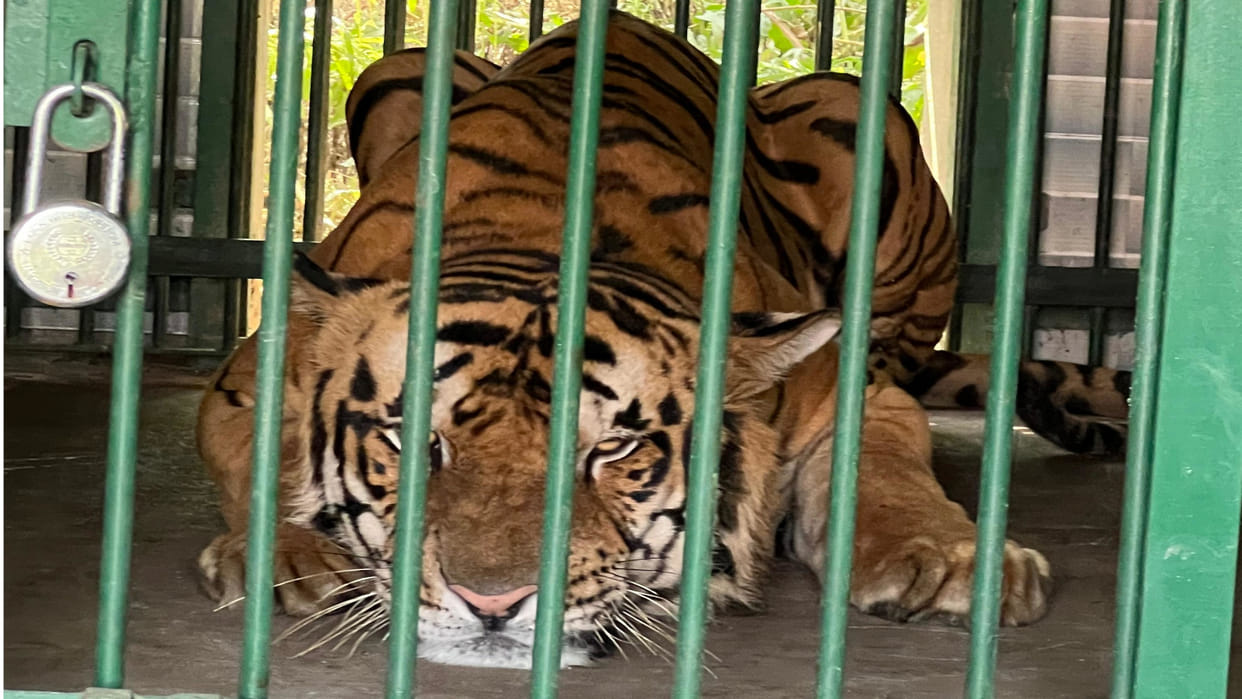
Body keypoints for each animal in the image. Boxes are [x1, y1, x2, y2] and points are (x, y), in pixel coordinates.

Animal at [196, 11, 1131, 669]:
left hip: (864, 121)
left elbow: (884, 470)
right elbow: (261, 456)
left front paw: (945, 558)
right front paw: (292, 551)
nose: (493, 602)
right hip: (399, 67)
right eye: (412, 441)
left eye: (613, 451)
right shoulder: (250, 375)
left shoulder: (848, 389)